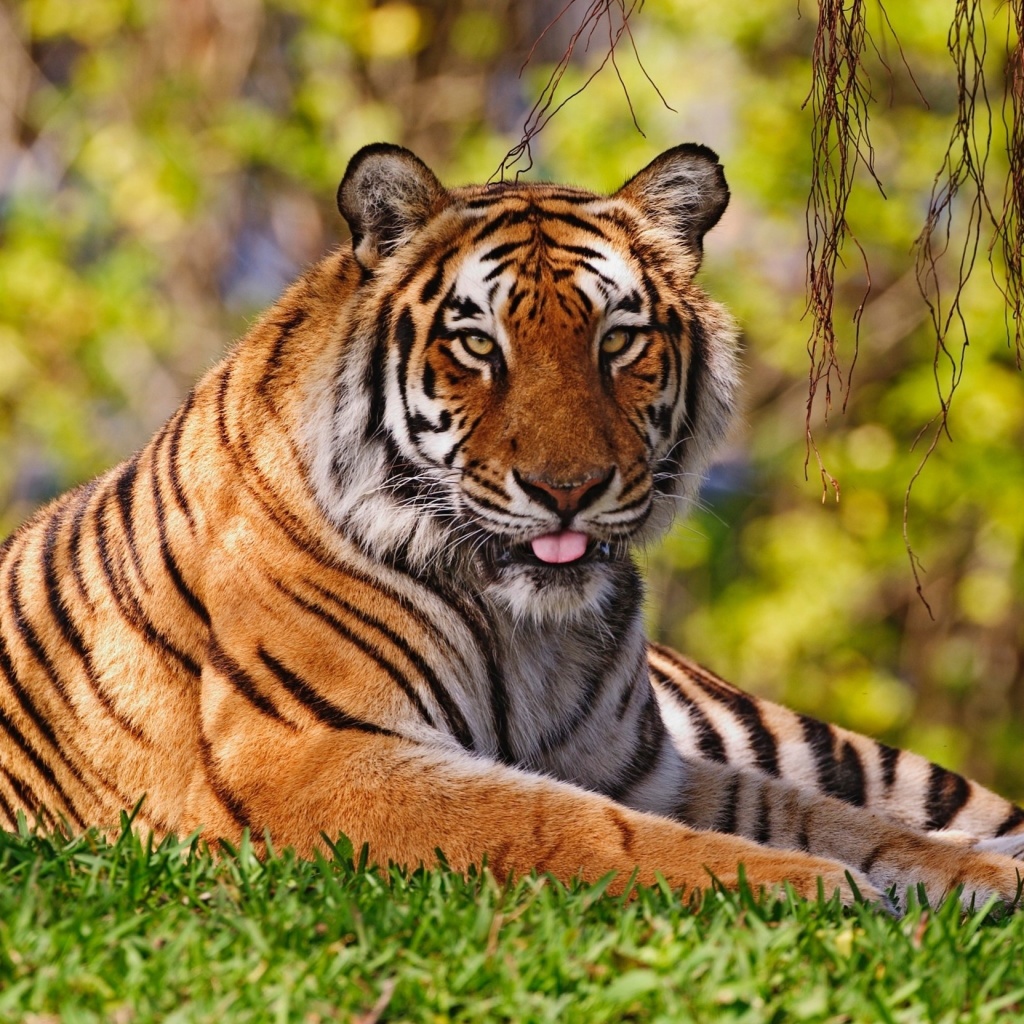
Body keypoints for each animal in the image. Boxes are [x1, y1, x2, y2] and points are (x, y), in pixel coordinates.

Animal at [2, 138, 1024, 913]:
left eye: (619, 339)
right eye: (477, 344)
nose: (567, 489)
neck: (529, 628)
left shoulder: (640, 765)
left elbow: (837, 819)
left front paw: (967, 876)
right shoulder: (316, 756)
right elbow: (573, 826)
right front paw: (816, 888)